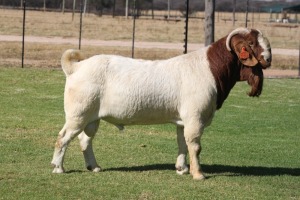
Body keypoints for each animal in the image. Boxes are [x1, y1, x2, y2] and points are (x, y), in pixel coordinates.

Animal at [51, 27, 272, 180]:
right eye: (251, 43)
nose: (268, 59)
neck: (210, 68)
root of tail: (75, 67)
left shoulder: (184, 120)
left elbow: (182, 143)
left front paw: (182, 169)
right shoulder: (195, 117)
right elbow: (195, 145)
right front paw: (198, 174)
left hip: (91, 117)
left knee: (85, 140)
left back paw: (94, 167)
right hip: (78, 114)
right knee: (63, 138)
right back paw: (58, 168)